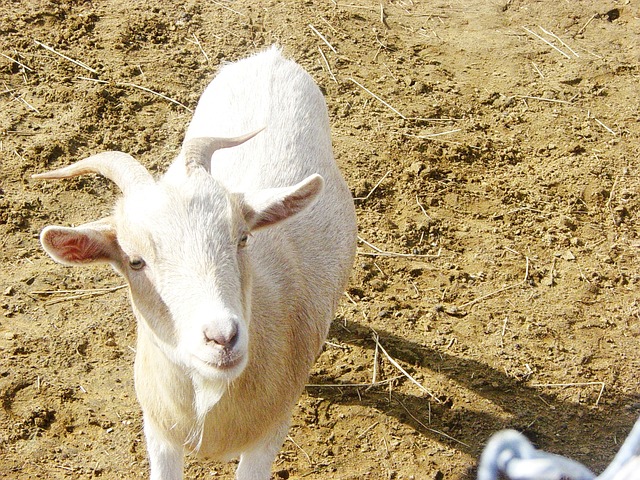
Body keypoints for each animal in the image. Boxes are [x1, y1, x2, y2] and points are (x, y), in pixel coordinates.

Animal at [33, 46, 356, 480]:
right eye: (135, 261)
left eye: (242, 238)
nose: (222, 337)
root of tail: (271, 57)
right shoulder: (158, 432)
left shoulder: (269, 436)